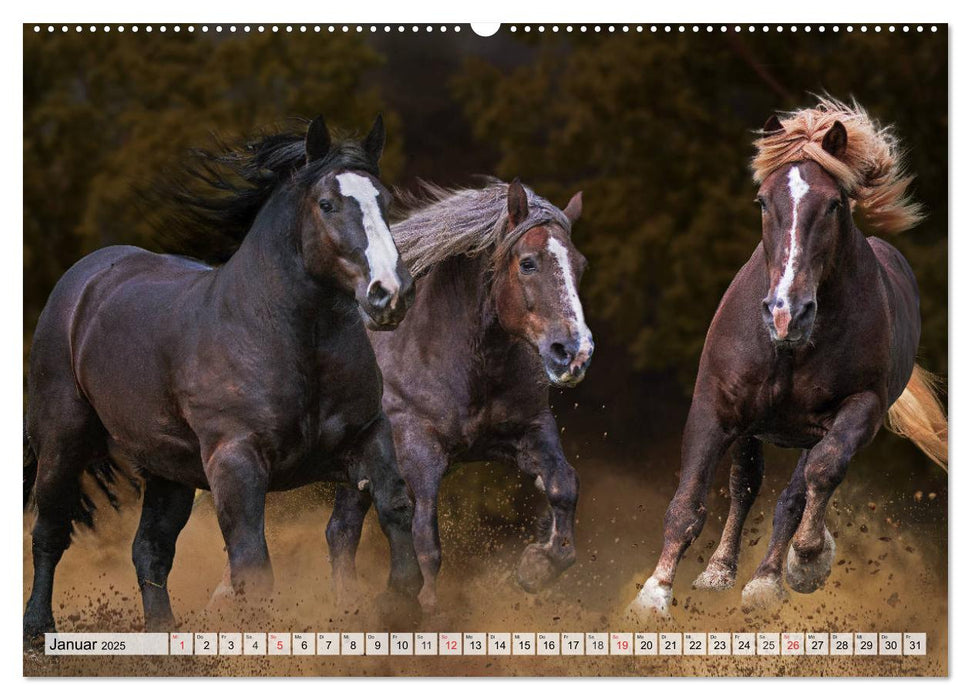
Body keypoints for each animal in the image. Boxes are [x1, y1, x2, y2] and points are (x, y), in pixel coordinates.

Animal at [22, 116, 424, 640]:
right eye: (327, 204)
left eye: (386, 200)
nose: (390, 294)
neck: (292, 341)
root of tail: (84, 281)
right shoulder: (235, 459)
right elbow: (251, 561)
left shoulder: (367, 433)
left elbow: (395, 503)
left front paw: (399, 603)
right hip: (62, 438)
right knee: (50, 531)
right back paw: (37, 628)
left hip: (169, 469)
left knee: (150, 550)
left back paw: (165, 637)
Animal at [326, 180, 592, 612]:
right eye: (528, 263)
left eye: (580, 266)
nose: (574, 354)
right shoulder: (418, 452)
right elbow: (426, 542)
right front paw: (424, 608)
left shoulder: (529, 429)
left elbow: (563, 485)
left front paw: (537, 566)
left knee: (341, 533)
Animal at [628, 97, 944, 616]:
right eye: (762, 201)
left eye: (834, 204)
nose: (785, 313)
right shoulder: (715, 406)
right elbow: (689, 502)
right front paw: (653, 596)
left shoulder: (858, 408)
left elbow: (818, 475)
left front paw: (805, 561)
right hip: (753, 426)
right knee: (745, 485)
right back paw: (718, 572)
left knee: (799, 489)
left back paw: (768, 578)